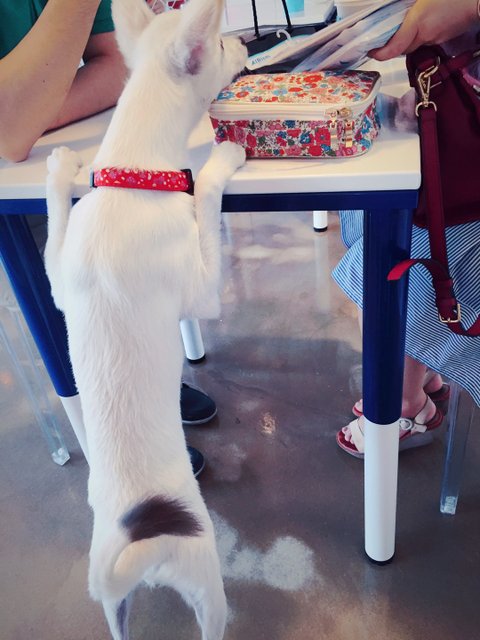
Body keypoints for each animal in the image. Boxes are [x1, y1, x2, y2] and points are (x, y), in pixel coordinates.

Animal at [44, 1, 247, 638]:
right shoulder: (202, 290)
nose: (247, 44)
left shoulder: (61, 279)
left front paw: (59, 169)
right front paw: (223, 157)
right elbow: (204, 192)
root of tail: (139, 550)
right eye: (224, 44)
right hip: (206, 580)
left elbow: (56, 226)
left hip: (112, 603)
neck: (130, 173)